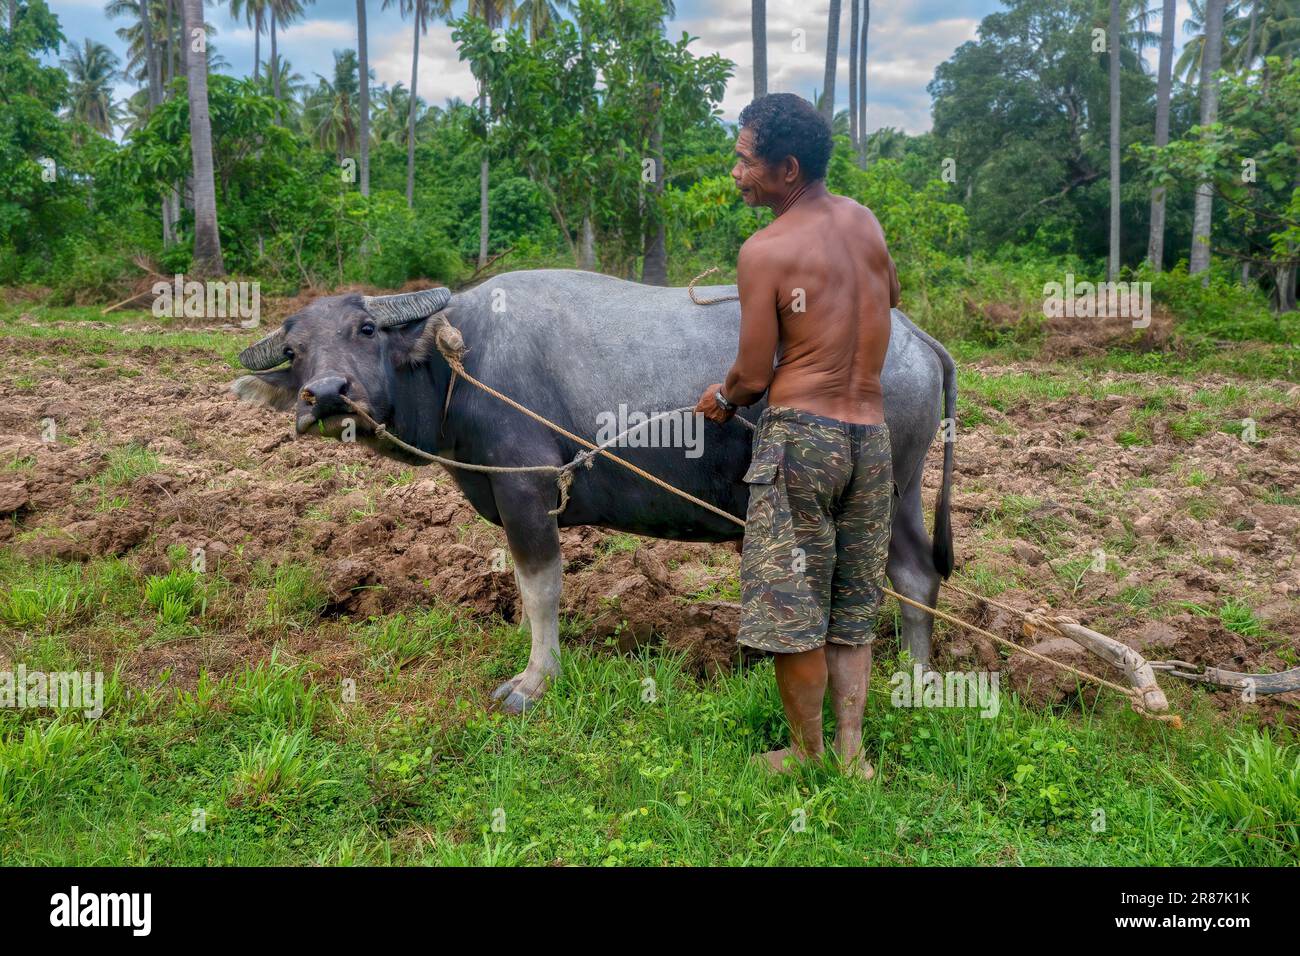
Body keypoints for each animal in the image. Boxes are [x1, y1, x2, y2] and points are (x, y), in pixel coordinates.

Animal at [231, 267, 956, 712]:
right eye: (295, 351)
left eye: (365, 330)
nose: (326, 395)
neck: (457, 365)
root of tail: (916, 337)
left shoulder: (526, 488)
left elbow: (541, 588)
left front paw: (533, 681)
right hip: (902, 491)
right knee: (916, 574)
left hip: (877, 490)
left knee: (903, 576)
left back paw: (910, 677)